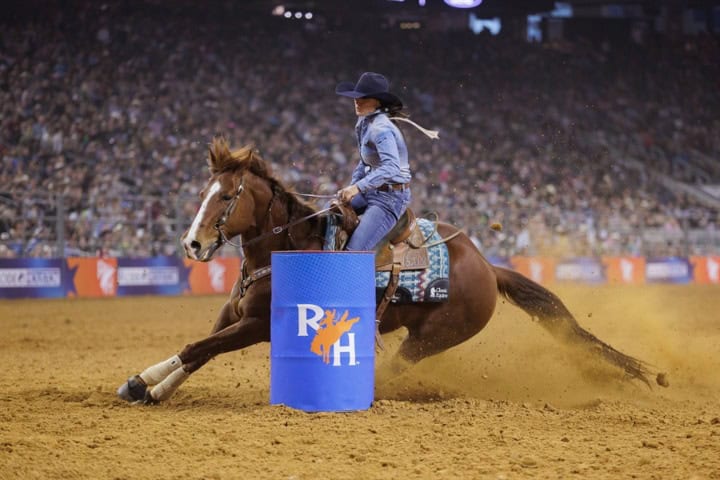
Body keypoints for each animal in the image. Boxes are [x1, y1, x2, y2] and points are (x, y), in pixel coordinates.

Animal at [116, 139, 660, 404]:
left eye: (228, 196)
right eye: (203, 192)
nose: (192, 244)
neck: (282, 251)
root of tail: (488, 267)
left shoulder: (256, 326)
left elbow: (197, 348)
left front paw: (144, 384)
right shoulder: (232, 315)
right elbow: (198, 351)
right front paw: (150, 386)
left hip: (431, 338)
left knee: (397, 367)